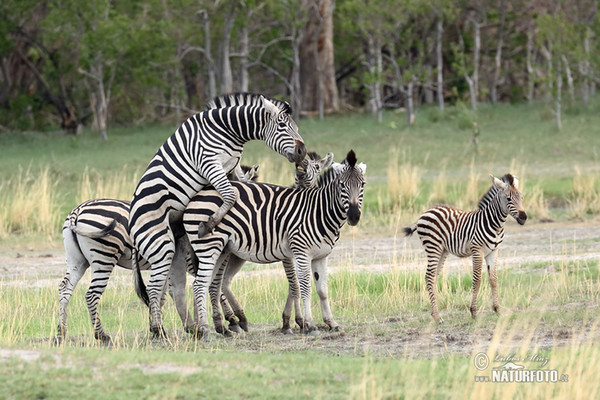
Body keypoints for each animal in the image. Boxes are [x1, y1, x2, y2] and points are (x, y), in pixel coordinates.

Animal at [57, 166, 258, 344]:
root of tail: (77, 211)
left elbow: (162, 296)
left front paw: (157, 328)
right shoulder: (192, 261)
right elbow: (210, 288)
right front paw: (231, 321)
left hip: (78, 261)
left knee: (65, 289)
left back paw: (61, 333)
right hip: (104, 257)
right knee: (92, 294)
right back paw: (101, 335)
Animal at [127, 93, 304, 338]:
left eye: (295, 127)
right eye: (282, 126)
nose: (302, 152)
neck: (227, 129)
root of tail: (131, 221)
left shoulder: (231, 167)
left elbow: (239, 186)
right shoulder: (209, 163)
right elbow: (231, 194)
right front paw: (209, 223)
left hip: (168, 247)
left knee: (167, 287)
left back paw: (171, 328)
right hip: (160, 243)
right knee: (155, 287)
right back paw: (158, 331)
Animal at [178, 150, 366, 338]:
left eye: (362, 184)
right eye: (342, 185)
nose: (354, 216)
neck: (318, 211)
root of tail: (196, 195)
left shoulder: (321, 256)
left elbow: (322, 291)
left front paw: (331, 323)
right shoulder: (300, 253)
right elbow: (303, 287)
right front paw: (308, 324)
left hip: (222, 250)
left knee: (210, 284)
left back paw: (216, 327)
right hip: (208, 247)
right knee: (199, 285)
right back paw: (204, 330)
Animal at [404, 173, 524, 324]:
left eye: (521, 197)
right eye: (508, 199)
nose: (524, 217)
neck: (495, 224)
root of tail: (425, 213)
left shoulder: (493, 252)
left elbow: (493, 279)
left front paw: (497, 310)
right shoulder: (477, 251)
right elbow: (477, 280)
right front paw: (473, 312)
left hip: (442, 250)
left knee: (433, 277)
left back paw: (434, 313)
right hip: (433, 247)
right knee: (429, 276)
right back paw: (438, 317)